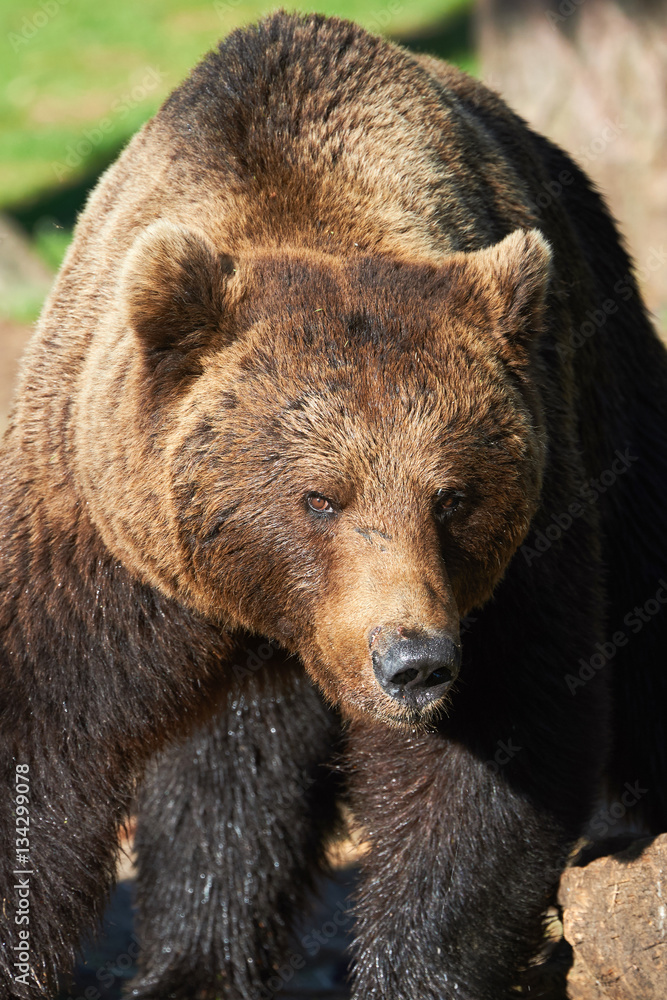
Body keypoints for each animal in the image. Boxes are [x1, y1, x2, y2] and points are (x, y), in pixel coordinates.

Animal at [1, 9, 667, 1000]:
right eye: (318, 498)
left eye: (452, 496)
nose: (412, 663)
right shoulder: (96, 546)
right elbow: (45, 745)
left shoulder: (519, 556)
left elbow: (489, 766)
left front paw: (413, 967)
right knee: (232, 776)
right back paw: (194, 963)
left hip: (604, 370)